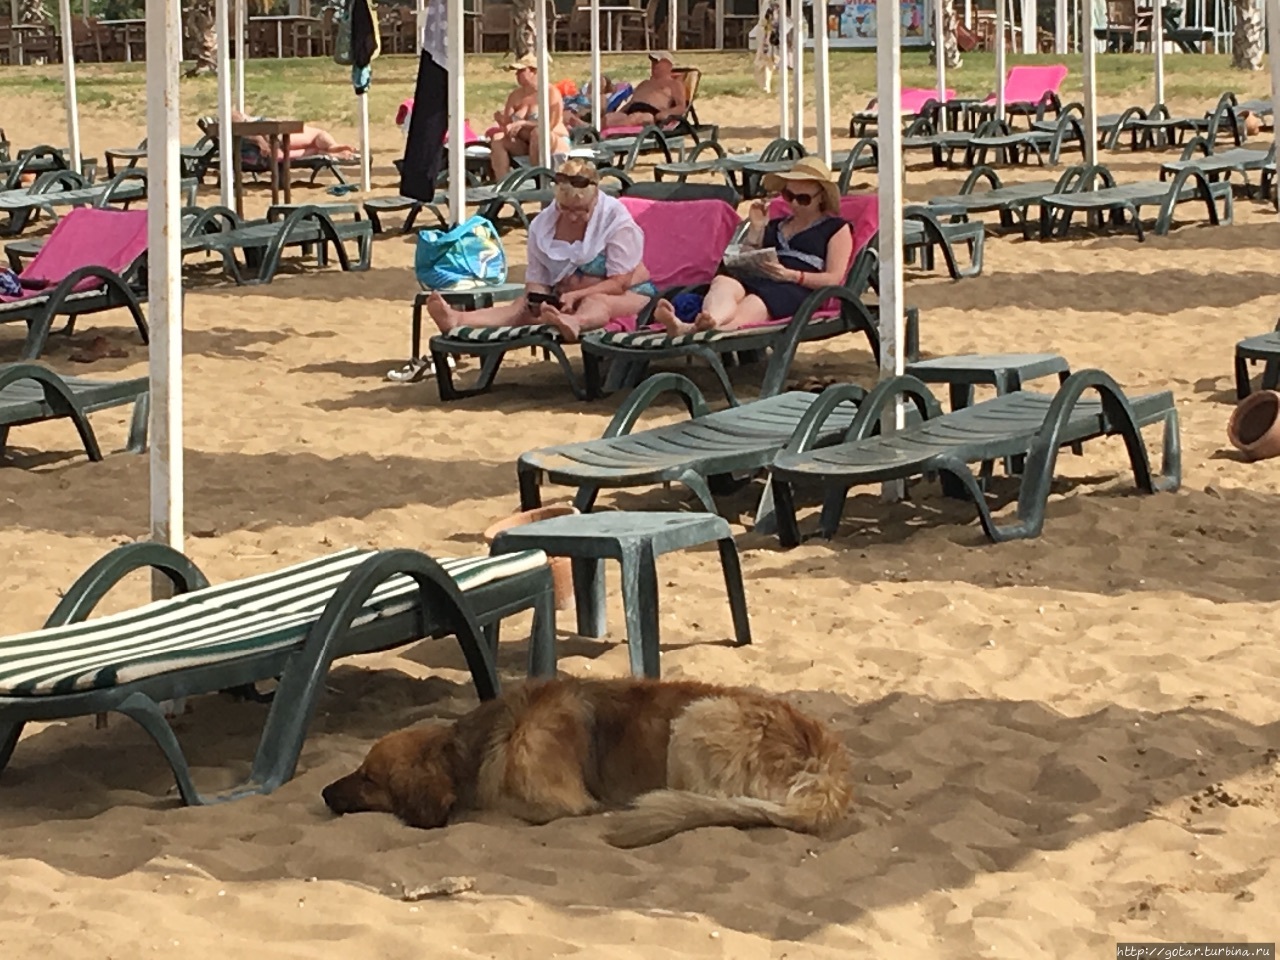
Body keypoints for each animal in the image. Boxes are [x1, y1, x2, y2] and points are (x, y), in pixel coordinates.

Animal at [325, 675, 855, 849]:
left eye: (368, 778)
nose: (324, 792)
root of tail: (827, 760)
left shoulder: (558, 802)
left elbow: (496, 806)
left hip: (694, 719)